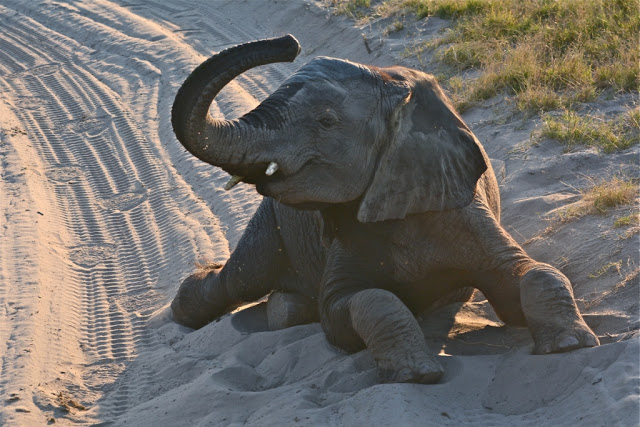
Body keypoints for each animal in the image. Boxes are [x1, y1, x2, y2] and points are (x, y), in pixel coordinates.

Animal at [168, 35, 596, 386]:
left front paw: (569, 343)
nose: (289, 43)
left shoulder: (461, 203)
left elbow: (528, 272)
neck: (393, 86)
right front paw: (416, 373)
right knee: (241, 279)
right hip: (271, 221)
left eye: (326, 121)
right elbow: (358, 303)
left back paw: (286, 307)